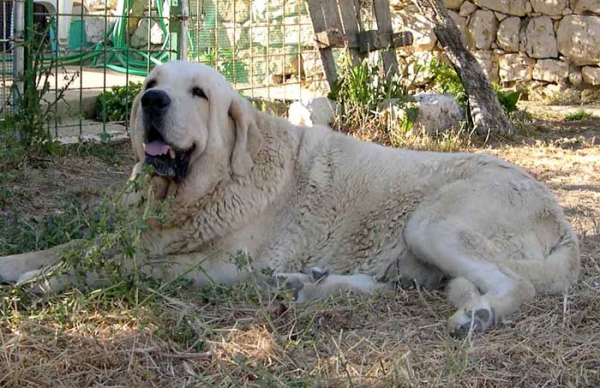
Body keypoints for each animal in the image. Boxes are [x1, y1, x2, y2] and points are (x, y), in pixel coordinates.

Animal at [0, 59, 580, 334]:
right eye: (151, 82)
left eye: (198, 94)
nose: (152, 100)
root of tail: (561, 217)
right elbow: (68, 249)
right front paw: (21, 264)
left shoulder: (217, 264)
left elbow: (125, 264)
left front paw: (46, 281)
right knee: (426, 285)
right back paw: (308, 282)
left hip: (433, 224)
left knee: (516, 285)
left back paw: (479, 317)